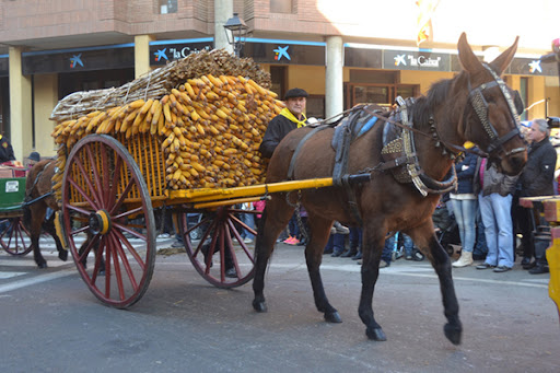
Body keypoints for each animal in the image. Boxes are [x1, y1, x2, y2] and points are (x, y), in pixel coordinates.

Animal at [252, 33, 528, 344]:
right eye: (489, 101)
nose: (518, 157)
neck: (407, 152)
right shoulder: (376, 222)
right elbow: (370, 269)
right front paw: (369, 320)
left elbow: (442, 262)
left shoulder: (418, 222)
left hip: (322, 213)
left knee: (312, 255)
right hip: (281, 202)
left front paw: (454, 323)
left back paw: (326, 307)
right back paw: (258, 295)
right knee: (266, 242)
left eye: (514, 99)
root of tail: (288, 137)